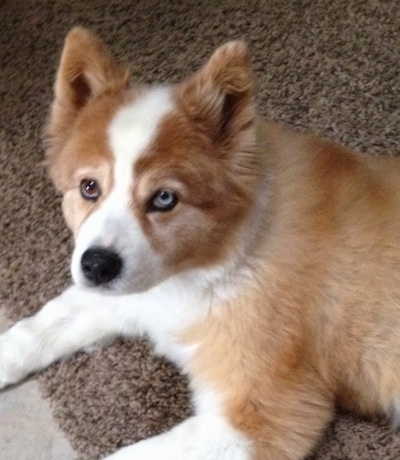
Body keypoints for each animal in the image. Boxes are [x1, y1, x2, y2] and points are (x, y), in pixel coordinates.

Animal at [0, 27, 400, 460]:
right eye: (89, 187)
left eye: (164, 198)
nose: (96, 266)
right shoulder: (134, 289)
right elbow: (40, 326)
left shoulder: (263, 416)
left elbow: (131, 455)